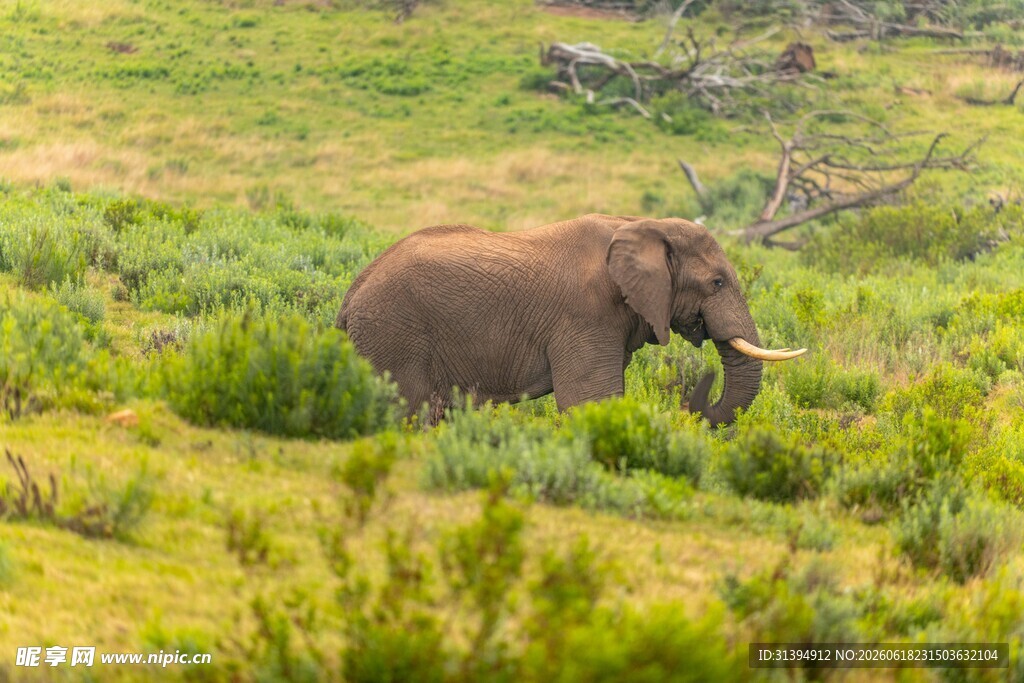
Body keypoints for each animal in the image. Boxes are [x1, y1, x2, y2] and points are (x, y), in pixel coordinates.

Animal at [337, 214, 805, 425]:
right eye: (717, 283)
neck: (639, 225)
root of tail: (351, 294)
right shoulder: (585, 317)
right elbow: (590, 401)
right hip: (393, 334)